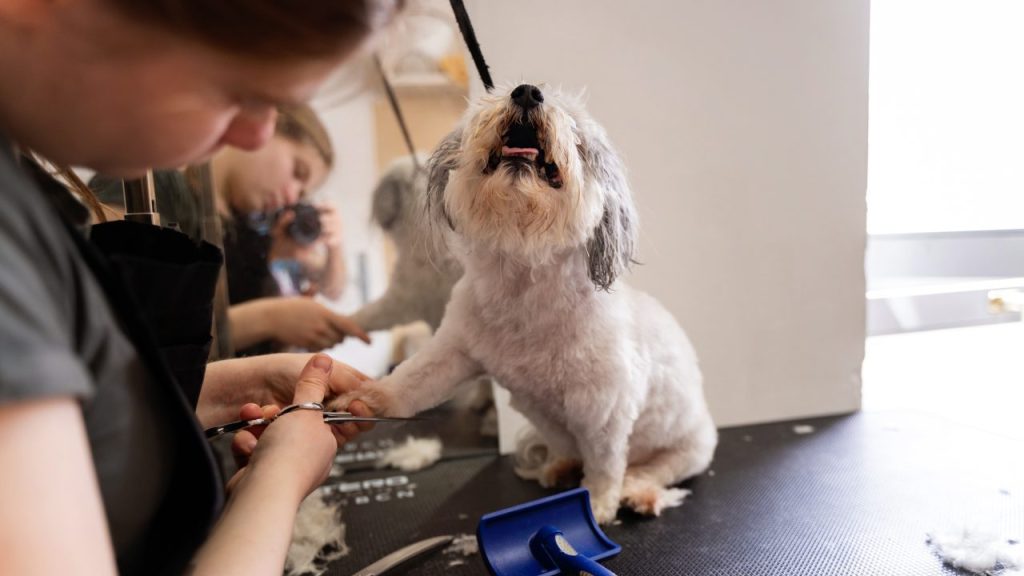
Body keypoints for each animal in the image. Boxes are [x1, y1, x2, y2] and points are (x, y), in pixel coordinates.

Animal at [339, 81, 716, 520]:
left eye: (575, 129)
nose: (527, 93)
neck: (523, 287)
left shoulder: (603, 408)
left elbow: (604, 465)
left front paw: (598, 505)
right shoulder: (455, 349)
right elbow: (413, 379)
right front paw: (366, 398)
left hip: (689, 449)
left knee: (652, 469)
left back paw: (639, 490)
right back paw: (559, 466)